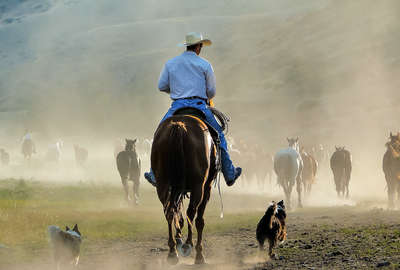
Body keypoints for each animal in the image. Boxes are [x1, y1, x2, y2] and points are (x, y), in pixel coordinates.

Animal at [151, 114, 219, 264]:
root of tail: (179, 126)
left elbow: (179, 216)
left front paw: (178, 238)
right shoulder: (206, 187)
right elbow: (198, 220)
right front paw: (199, 253)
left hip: (163, 184)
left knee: (169, 212)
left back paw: (172, 252)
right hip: (198, 186)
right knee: (191, 213)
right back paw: (189, 247)